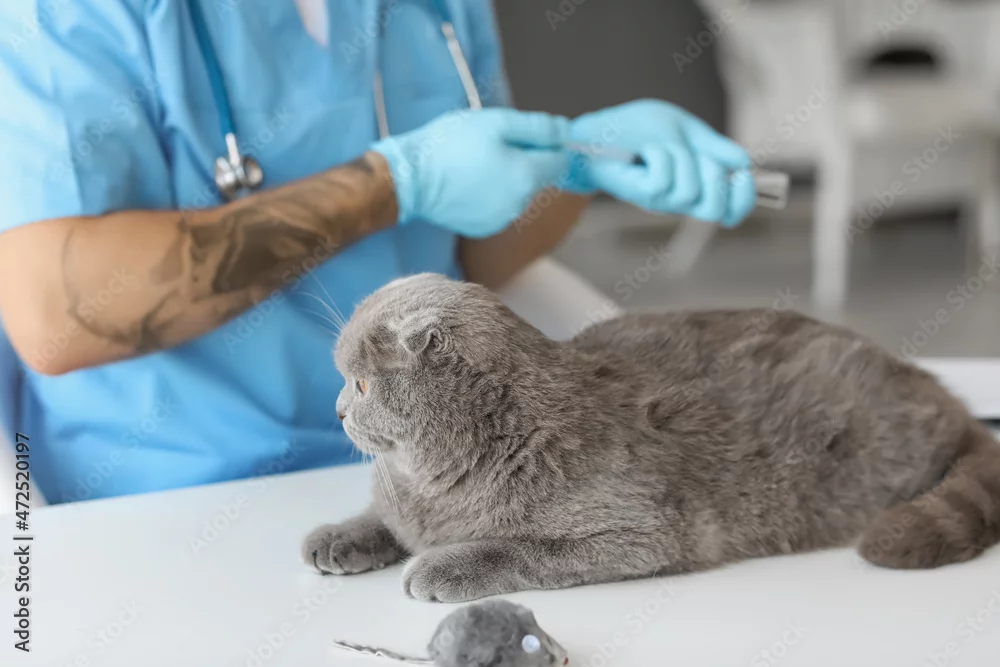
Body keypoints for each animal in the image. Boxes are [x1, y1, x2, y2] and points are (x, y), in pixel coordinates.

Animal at [303, 273, 1000, 603]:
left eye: (359, 385)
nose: (335, 411)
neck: (433, 478)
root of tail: (941, 392)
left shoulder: (637, 533)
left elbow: (515, 549)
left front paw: (442, 565)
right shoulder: (400, 504)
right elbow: (381, 518)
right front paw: (339, 536)